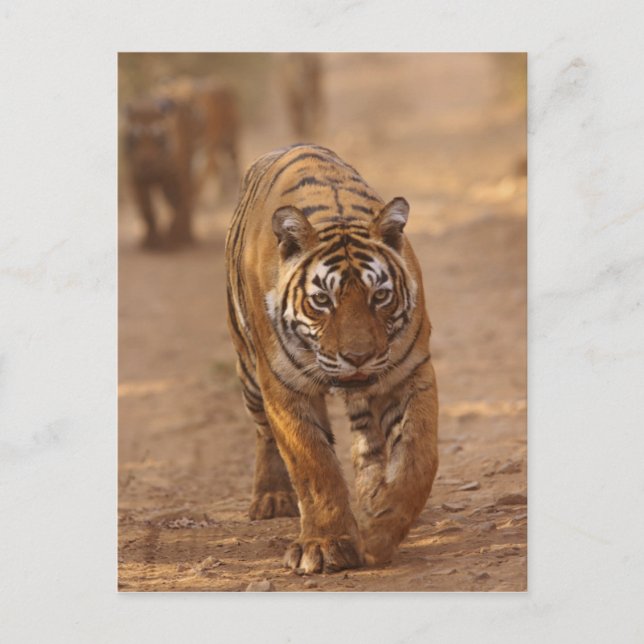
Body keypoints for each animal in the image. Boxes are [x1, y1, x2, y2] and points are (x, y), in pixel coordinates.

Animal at [225, 144, 438, 573]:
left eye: (380, 296)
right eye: (322, 300)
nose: (358, 357)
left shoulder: (411, 371)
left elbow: (418, 456)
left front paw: (381, 528)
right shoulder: (283, 386)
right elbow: (313, 465)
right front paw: (325, 544)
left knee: (368, 441)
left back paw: (372, 497)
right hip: (249, 376)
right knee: (263, 434)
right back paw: (271, 497)